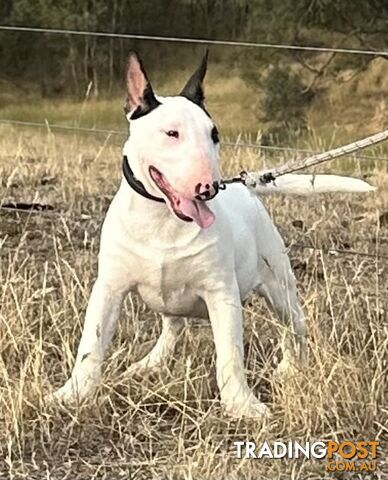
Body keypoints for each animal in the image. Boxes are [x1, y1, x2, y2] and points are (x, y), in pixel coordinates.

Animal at [53, 51, 370, 416]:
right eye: (172, 133)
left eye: (214, 134)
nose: (209, 188)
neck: (163, 219)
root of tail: (247, 187)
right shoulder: (109, 287)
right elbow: (90, 345)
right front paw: (72, 393)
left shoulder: (222, 294)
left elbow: (230, 355)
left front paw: (242, 406)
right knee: (173, 325)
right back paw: (151, 363)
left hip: (280, 285)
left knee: (295, 326)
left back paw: (291, 368)